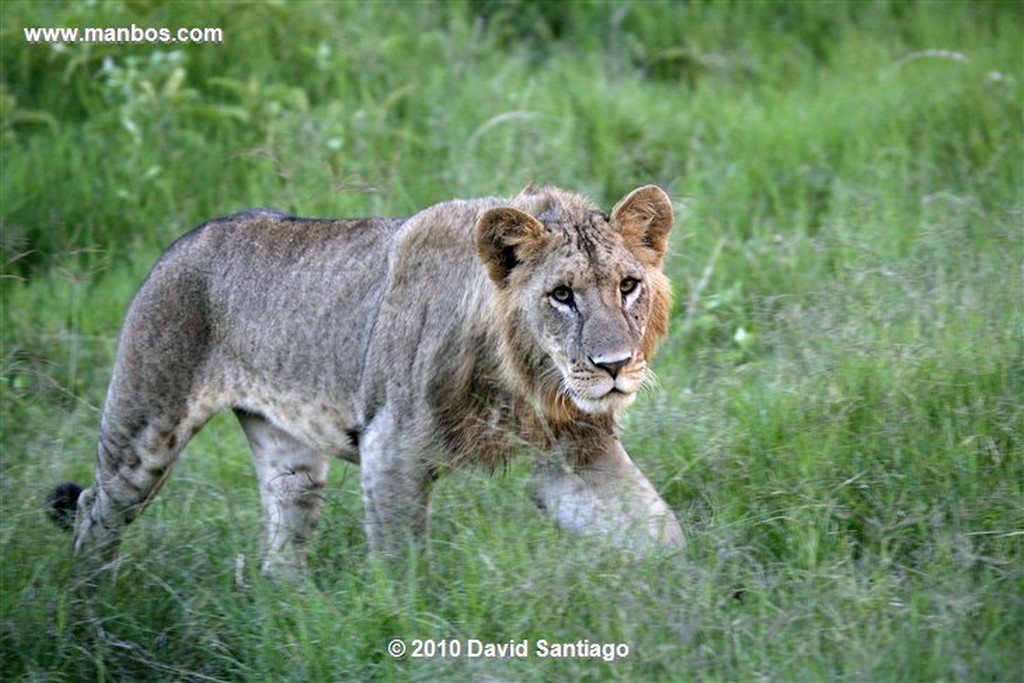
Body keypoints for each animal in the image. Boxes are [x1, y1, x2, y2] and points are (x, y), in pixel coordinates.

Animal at [49, 184, 688, 581]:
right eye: (561, 295)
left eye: (628, 285)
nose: (614, 365)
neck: (525, 381)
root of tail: (184, 240)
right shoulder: (392, 447)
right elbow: (405, 570)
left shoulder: (576, 454)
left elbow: (662, 531)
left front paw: (691, 595)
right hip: (144, 426)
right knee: (94, 509)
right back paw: (90, 614)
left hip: (290, 459)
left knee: (281, 540)